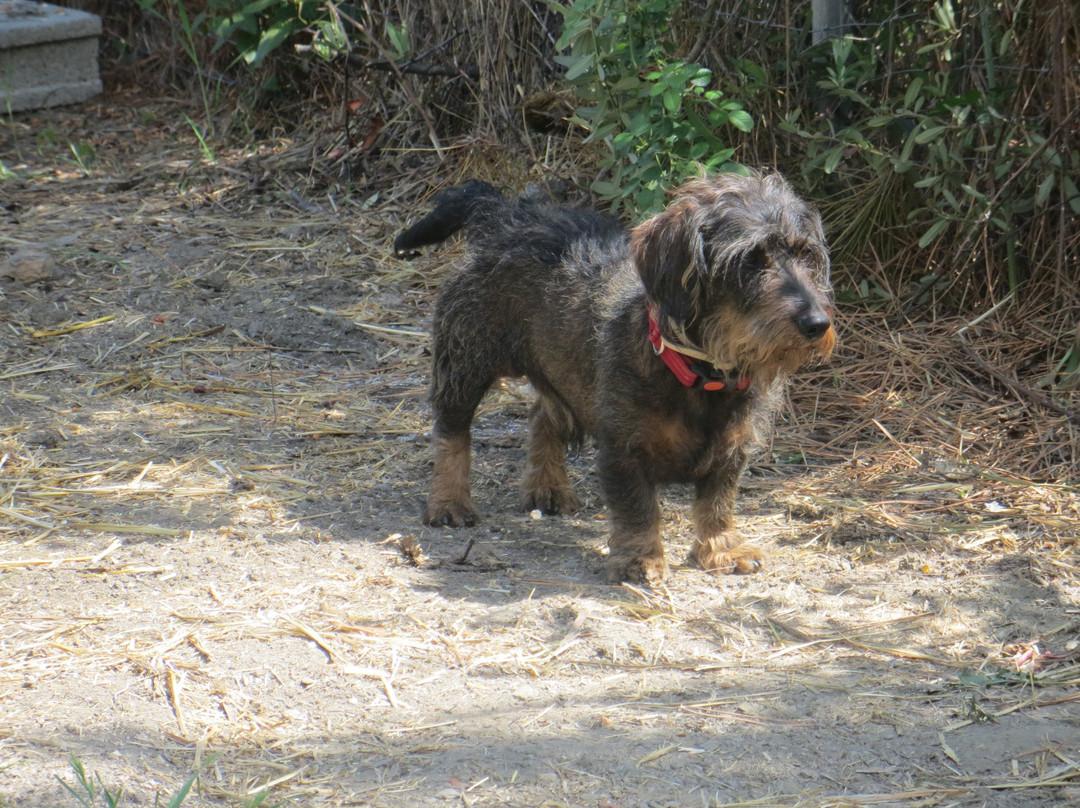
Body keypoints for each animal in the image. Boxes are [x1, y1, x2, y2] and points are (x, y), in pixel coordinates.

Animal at [397, 171, 833, 578]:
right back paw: (450, 501)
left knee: (543, 417)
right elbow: (639, 509)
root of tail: (506, 213)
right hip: (465, 360)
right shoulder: (625, 451)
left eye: (805, 254)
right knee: (452, 431)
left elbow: (718, 502)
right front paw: (641, 559)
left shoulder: (732, 449)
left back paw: (548, 487)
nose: (817, 323)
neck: (700, 375)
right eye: (750, 259)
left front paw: (721, 548)